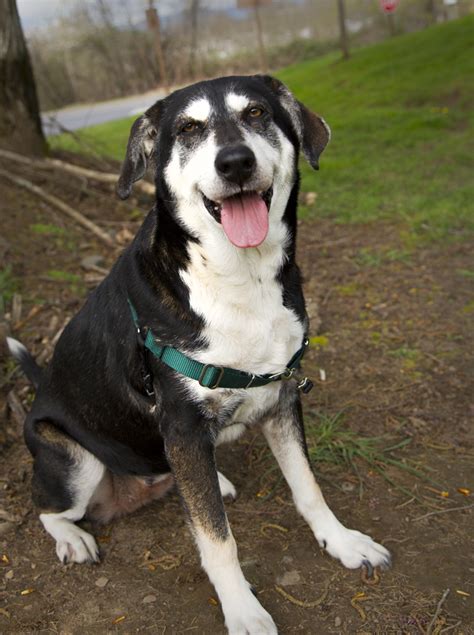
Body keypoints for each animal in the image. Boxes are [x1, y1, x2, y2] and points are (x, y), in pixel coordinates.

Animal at [7, 77, 390, 632]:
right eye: (188, 128)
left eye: (256, 114)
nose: (235, 163)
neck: (240, 277)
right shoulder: (184, 427)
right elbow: (217, 539)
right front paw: (243, 610)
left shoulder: (280, 400)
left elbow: (309, 488)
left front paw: (342, 543)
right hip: (72, 461)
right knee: (48, 507)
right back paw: (74, 538)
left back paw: (217, 481)